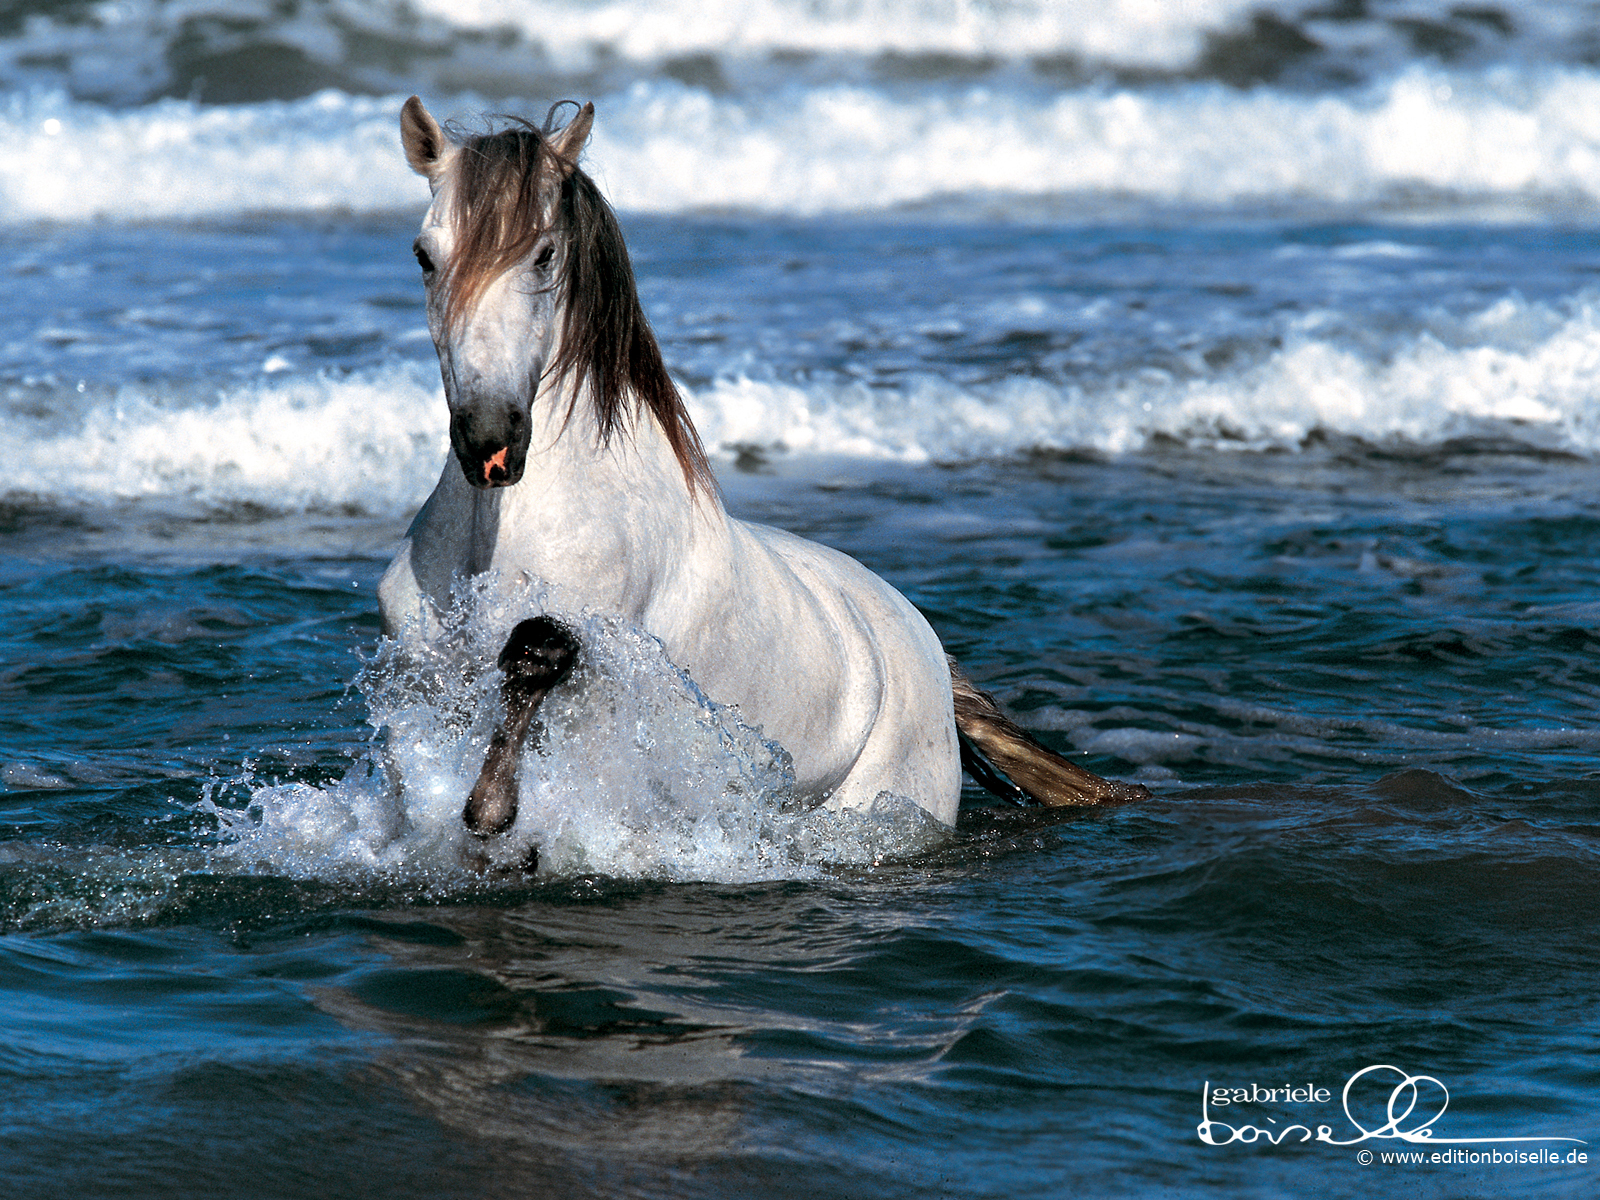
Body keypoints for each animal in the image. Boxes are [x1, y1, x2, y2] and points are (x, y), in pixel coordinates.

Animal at [377, 96, 1147, 840]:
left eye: (543, 255)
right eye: (422, 255)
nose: (490, 441)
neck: (497, 533)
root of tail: (928, 649)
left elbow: (538, 653)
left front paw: (492, 811)